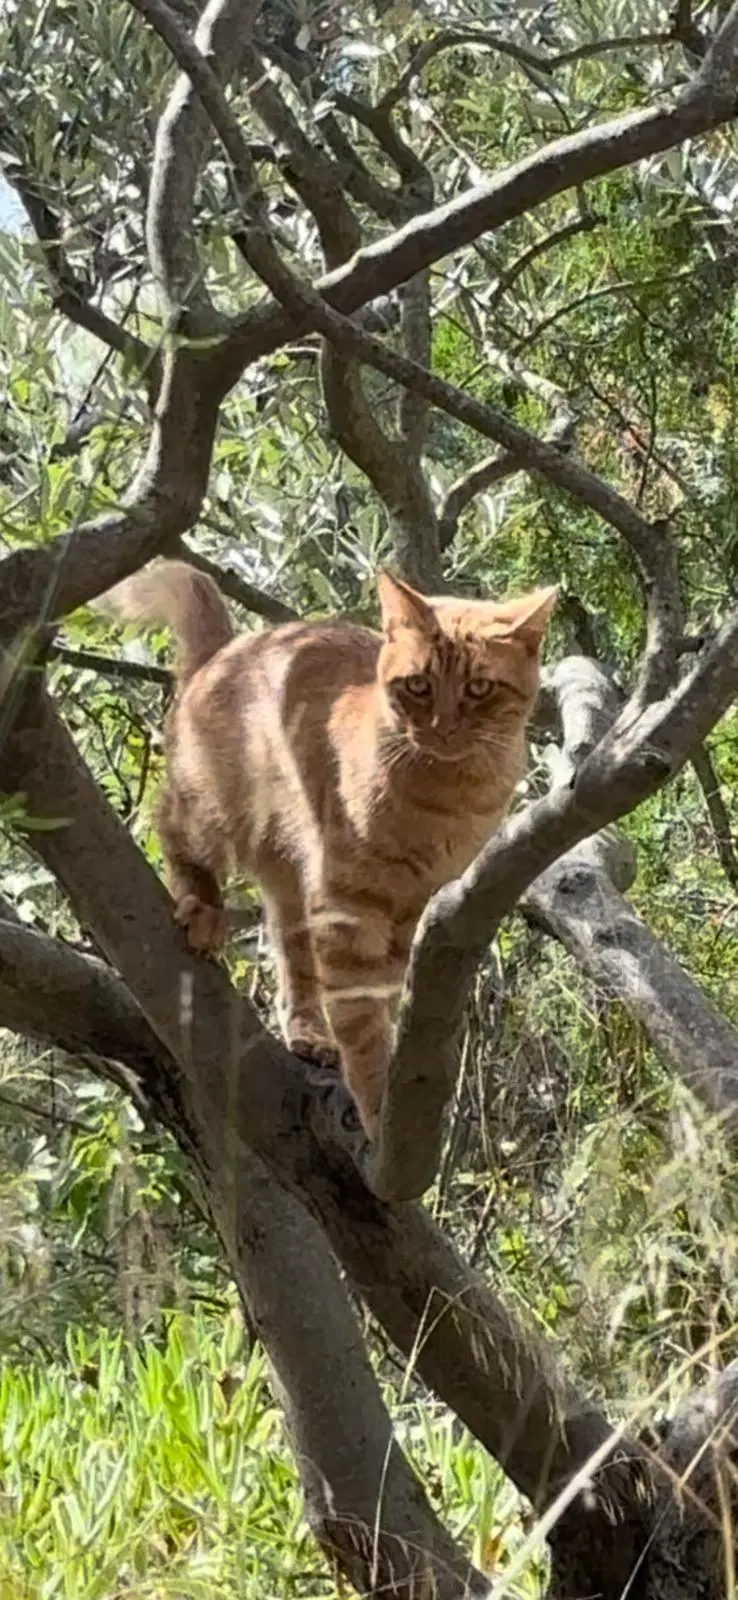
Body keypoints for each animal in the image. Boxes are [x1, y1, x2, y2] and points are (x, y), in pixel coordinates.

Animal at [104, 563, 550, 1139]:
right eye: (419, 685)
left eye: (479, 688)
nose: (443, 728)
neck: (446, 798)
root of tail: (226, 647)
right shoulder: (348, 908)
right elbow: (361, 1025)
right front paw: (379, 1104)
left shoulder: (407, 912)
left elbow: (380, 998)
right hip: (216, 814)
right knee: (170, 826)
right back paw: (202, 909)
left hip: (290, 877)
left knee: (292, 958)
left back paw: (308, 1033)